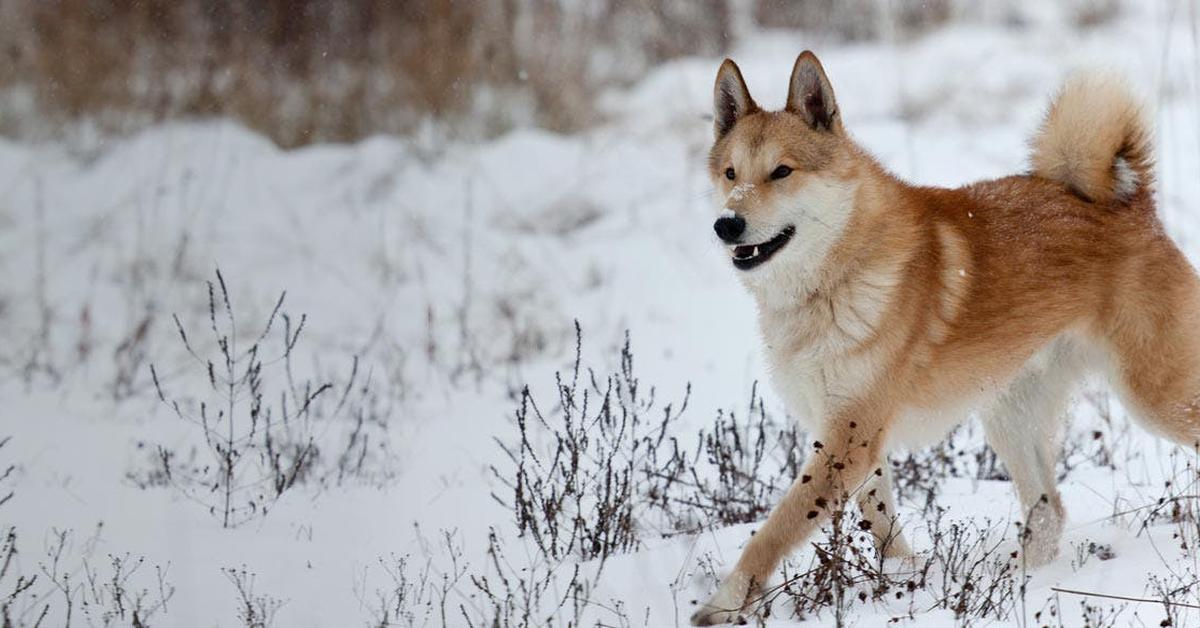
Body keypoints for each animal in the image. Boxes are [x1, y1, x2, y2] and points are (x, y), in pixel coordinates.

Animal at [691, 51, 1195, 624]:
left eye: (782, 171)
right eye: (731, 173)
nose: (727, 224)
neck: (835, 277)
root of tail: (1132, 205)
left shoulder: (850, 435)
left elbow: (775, 530)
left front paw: (725, 602)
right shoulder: (847, 437)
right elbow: (880, 523)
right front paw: (903, 580)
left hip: (1156, 399)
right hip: (1010, 416)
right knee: (1048, 513)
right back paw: (1016, 582)